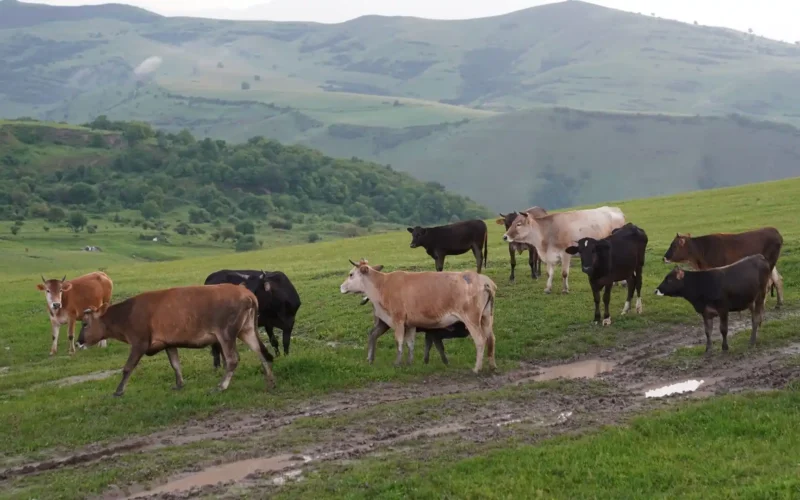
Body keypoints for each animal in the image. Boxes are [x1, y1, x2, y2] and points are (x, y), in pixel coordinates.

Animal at [76, 284, 276, 397]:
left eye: (85, 323)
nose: (78, 342)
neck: (126, 315)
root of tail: (247, 294)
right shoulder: (169, 343)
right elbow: (175, 364)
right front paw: (179, 384)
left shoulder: (139, 342)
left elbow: (127, 368)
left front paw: (118, 391)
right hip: (247, 330)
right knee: (260, 352)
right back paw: (271, 381)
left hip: (226, 332)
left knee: (233, 359)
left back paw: (221, 386)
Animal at [340, 259, 496, 372]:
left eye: (351, 274)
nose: (341, 287)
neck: (382, 285)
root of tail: (483, 281)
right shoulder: (410, 324)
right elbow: (410, 343)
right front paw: (409, 362)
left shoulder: (398, 320)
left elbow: (399, 341)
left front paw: (397, 363)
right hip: (487, 317)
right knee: (491, 339)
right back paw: (492, 366)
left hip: (471, 319)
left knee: (480, 340)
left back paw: (477, 368)